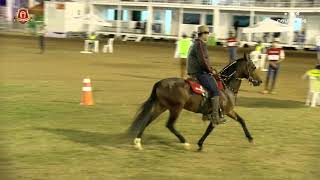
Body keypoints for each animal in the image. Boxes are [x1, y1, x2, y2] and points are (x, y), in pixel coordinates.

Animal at [127, 53, 262, 150]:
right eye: (253, 67)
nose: (259, 81)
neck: (226, 86)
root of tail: (160, 83)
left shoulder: (229, 111)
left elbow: (241, 120)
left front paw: (250, 138)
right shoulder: (218, 114)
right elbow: (210, 129)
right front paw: (200, 144)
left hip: (162, 106)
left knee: (148, 120)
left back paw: (138, 142)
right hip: (176, 108)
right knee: (170, 125)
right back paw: (185, 143)